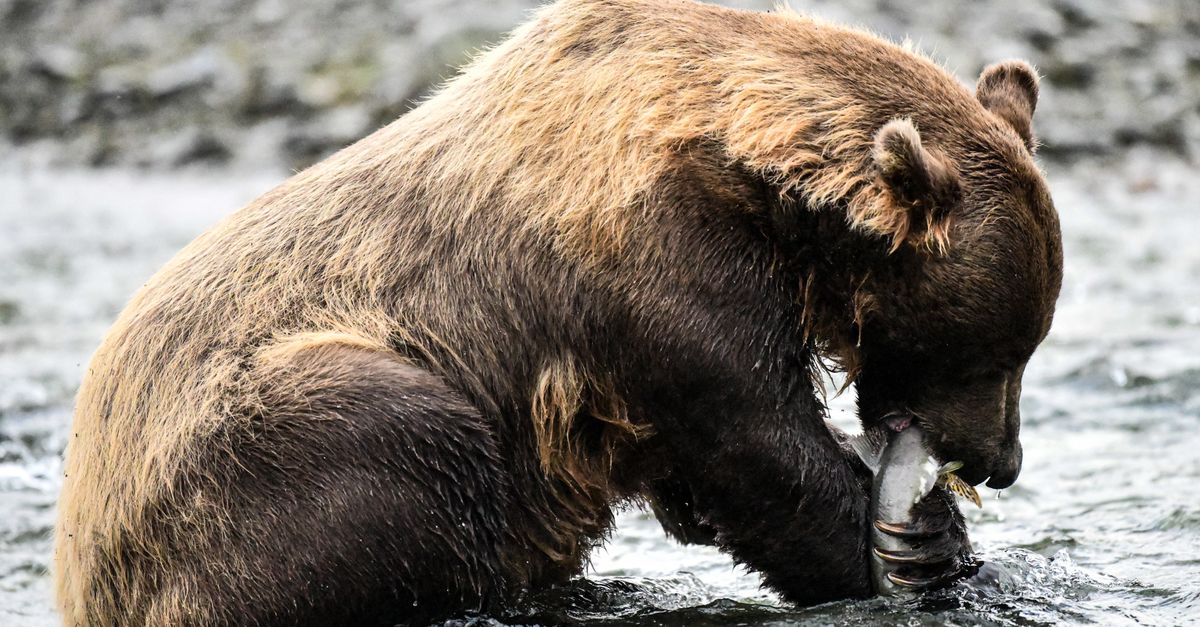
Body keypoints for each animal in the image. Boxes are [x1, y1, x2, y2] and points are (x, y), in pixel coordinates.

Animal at [54, 0, 1063, 624]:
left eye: (1025, 342)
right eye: (998, 348)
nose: (1002, 459)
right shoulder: (651, 273)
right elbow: (751, 442)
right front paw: (928, 548)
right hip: (253, 452)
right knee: (402, 439)